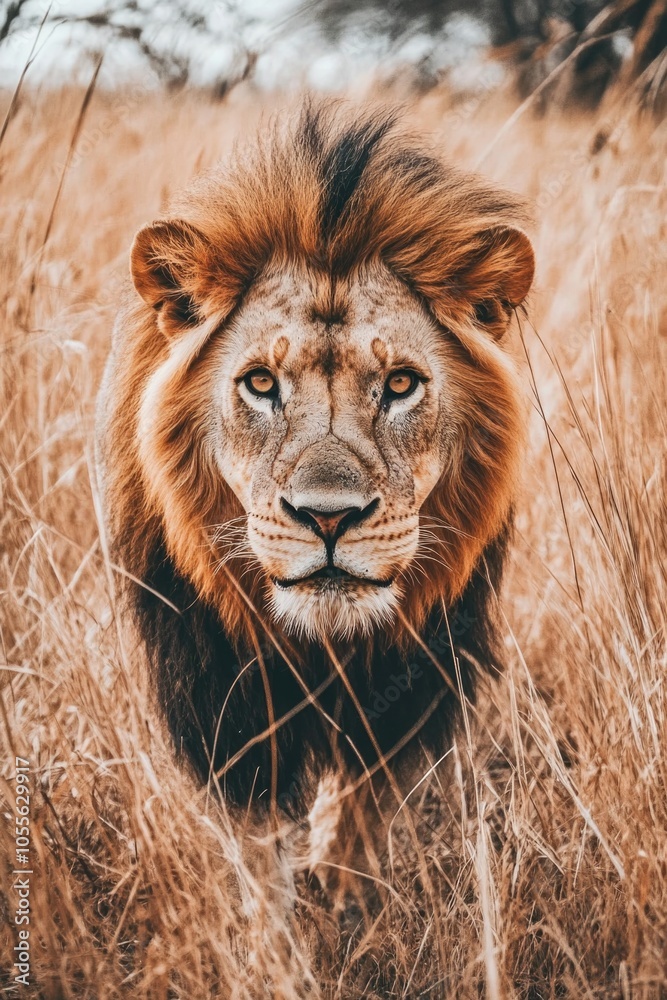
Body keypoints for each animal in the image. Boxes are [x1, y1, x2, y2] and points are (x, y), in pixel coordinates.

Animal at [96, 102, 534, 863]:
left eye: (400, 385)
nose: (328, 518)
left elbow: (357, 815)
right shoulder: (222, 702)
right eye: (261, 383)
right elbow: (257, 845)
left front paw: (345, 884)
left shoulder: (408, 685)